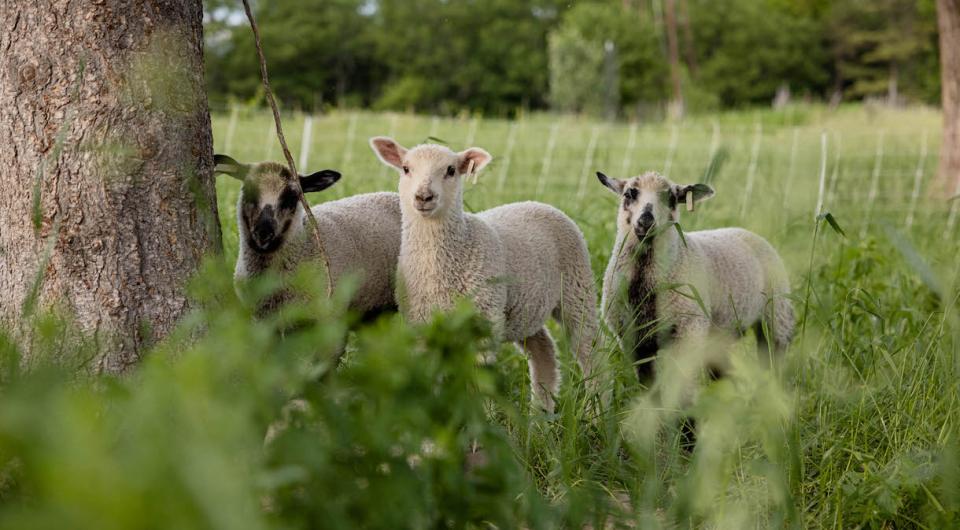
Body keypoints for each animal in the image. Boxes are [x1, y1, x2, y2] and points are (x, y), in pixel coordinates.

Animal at [368, 137, 598, 412]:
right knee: (544, 349)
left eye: (451, 170)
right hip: (524, 309)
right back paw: (542, 414)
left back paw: (597, 412)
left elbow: (479, 385)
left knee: (591, 353)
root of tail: (538, 202)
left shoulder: (483, 324)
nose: (424, 196)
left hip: (577, 289)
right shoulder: (423, 327)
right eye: (405, 168)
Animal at [595, 170, 794, 384]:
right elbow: (648, 383)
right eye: (629, 194)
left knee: (773, 360)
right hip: (721, 335)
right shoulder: (633, 341)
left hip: (777, 316)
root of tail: (745, 230)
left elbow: (682, 384)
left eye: (672, 198)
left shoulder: (689, 331)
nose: (646, 221)